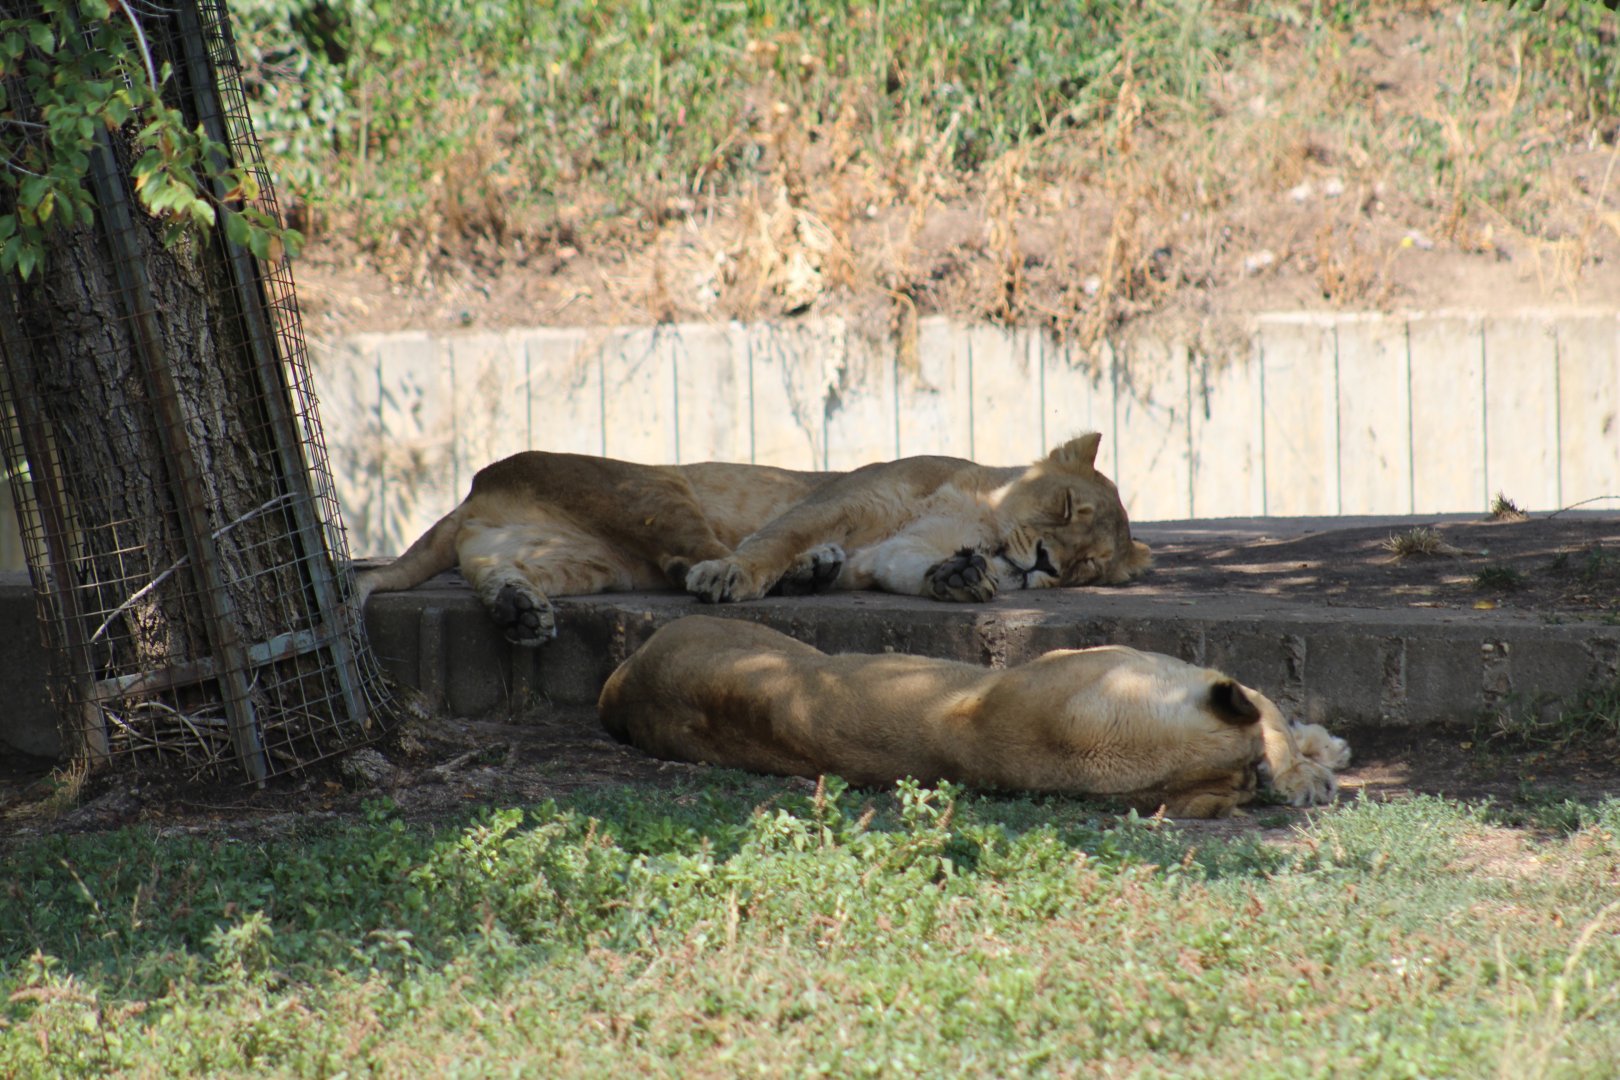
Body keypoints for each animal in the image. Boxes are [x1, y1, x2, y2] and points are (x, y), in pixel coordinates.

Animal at [353, 433, 1150, 645]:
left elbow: (911, 566)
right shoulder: (845, 496)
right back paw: (758, 574)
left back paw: (518, 610)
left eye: (1087, 568)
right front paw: (760, 570)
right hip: (659, 492)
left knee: (496, 572)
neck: (982, 517)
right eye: (1067, 505)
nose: (1044, 564)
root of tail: (476, 488)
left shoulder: (894, 550)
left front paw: (957, 579)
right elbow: (774, 537)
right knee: (698, 558)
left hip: (582, 561)